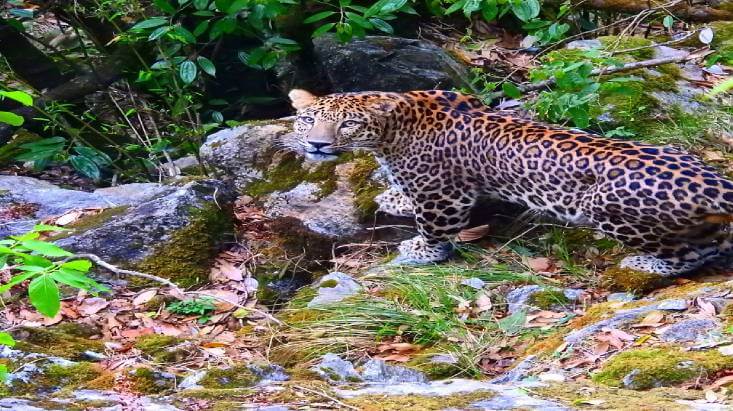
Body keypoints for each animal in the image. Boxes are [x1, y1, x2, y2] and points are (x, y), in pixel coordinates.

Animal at [284, 89, 732, 276]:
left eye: (348, 124)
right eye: (308, 119)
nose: (317, 144)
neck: (393, 129)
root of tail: (711, 179)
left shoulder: (443, 195)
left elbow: (434, 226)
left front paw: (421, 250)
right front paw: (396, 196)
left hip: (604, 205)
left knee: (689, 255)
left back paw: (645, 263)